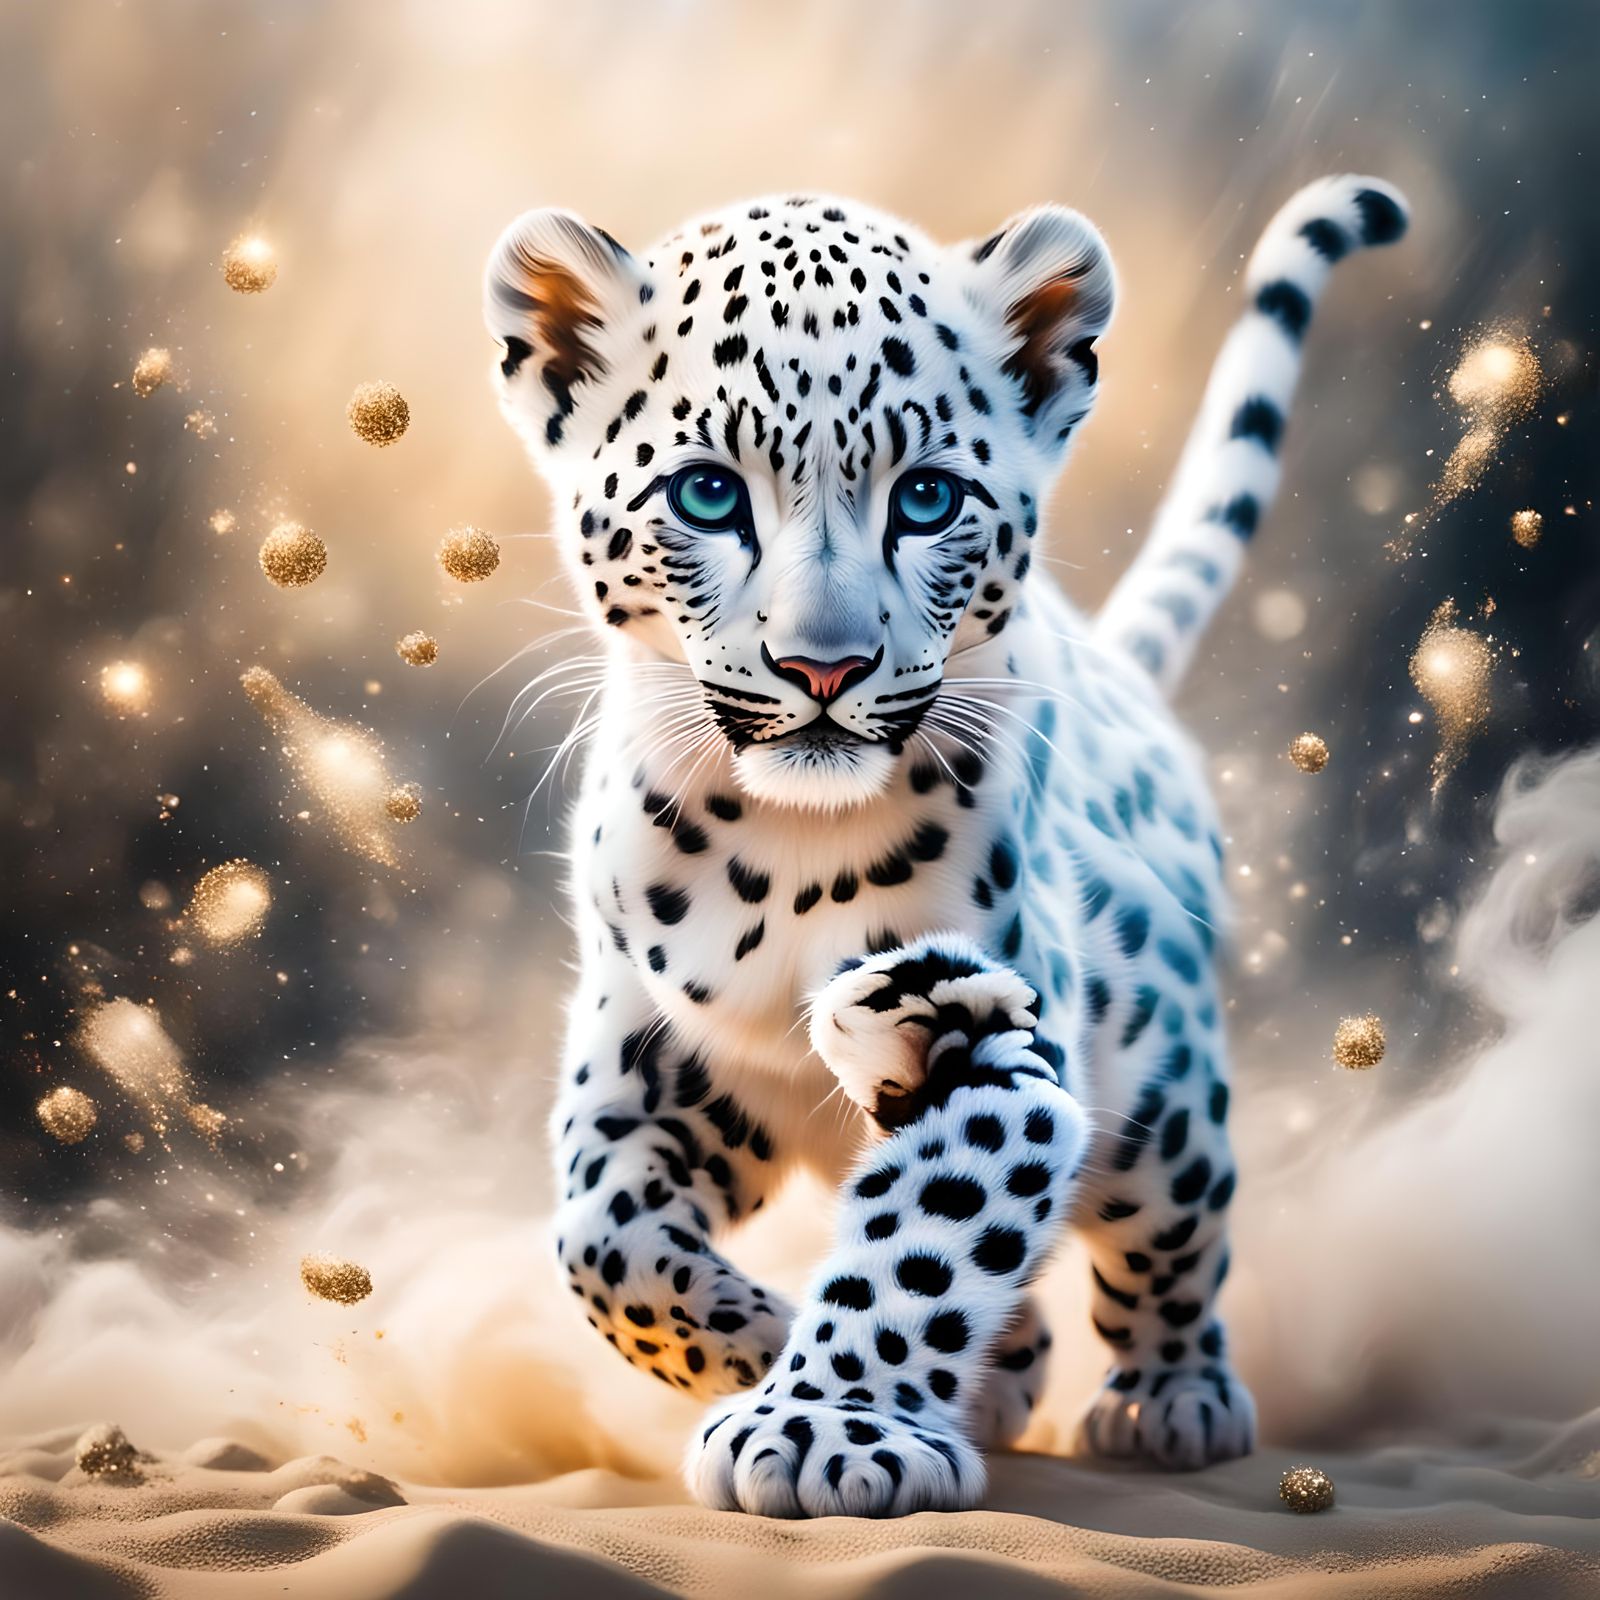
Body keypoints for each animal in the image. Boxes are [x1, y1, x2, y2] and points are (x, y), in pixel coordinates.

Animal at [480, 175, 1407, 1517]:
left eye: (926, 499)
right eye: (707, 494)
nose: (823, 667)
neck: (780, 851)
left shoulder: (1010, 1065)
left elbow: (920, 1243)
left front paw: (821, 1427)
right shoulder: (648, 1066)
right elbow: (604, 1244)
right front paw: (769, 1344)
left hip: (1166, 1098)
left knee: (1170, 1235)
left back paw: (1168, 1399)